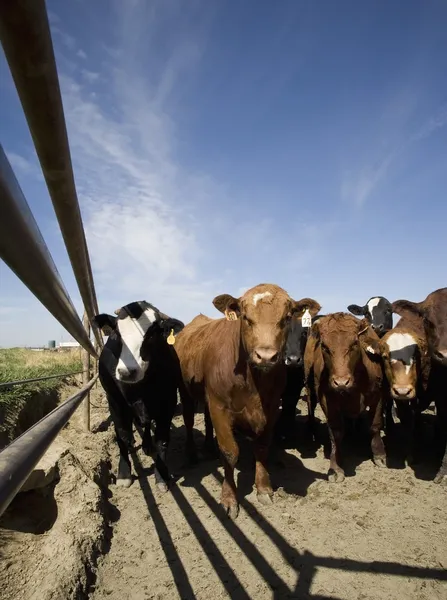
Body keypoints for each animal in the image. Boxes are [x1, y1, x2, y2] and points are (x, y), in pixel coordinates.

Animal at [93, 302, 185, 490]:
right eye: (117, 334)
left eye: (151, 335)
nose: (127, 372)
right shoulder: (115, 403)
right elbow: (123, 437)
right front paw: (124, 473)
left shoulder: (168, 402)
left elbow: (162, 440)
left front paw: (161, 476)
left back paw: (147, 445)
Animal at [176, 284, 322, 516]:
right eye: (245, 317)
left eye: (286, 317)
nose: (266, 356)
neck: (253, 383)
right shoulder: (219, 406)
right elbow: (229, 451)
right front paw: (229, 498)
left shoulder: (271, 407)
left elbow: (262, 447)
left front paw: (263, 488)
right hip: (186, 390)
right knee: (189, 421)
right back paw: (191, 454)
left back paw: (208, 447)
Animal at [304, 314, 384, 482]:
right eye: (325, 346)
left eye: (354, 344)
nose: (341, 382)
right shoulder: (328, 401)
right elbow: (336, 433)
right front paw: (335, 467)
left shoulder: (378, 395)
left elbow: (375, 425)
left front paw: (379, 455)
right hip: (309, 386)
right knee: (310, 405)